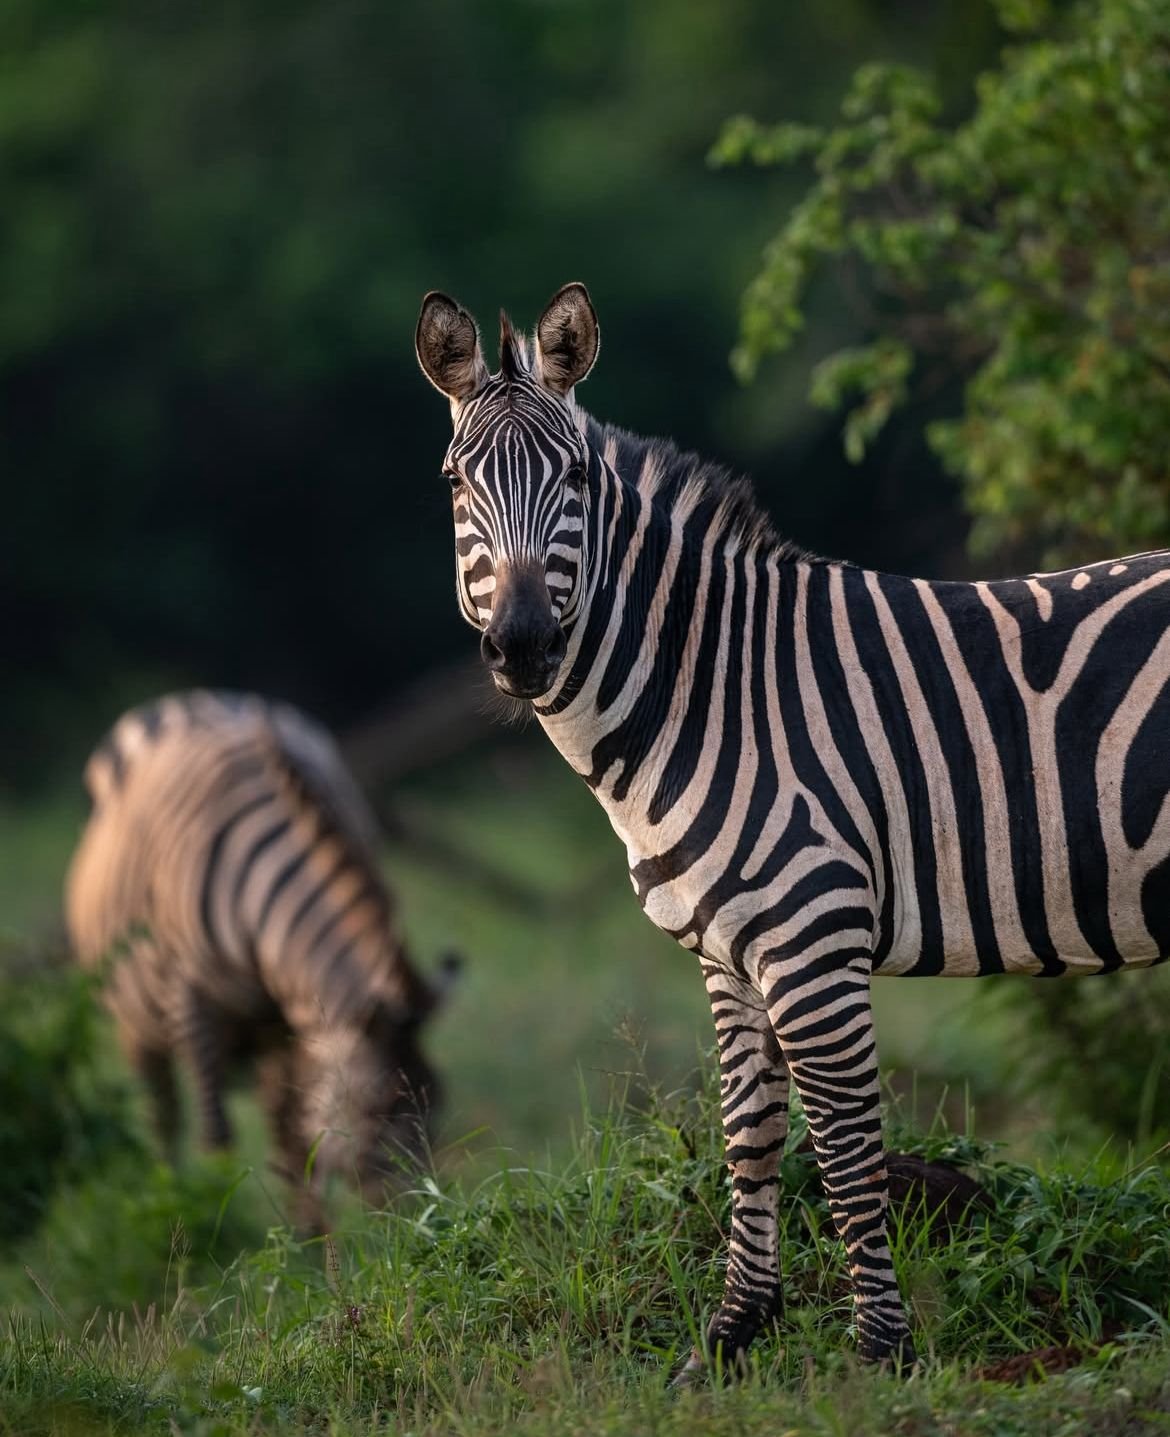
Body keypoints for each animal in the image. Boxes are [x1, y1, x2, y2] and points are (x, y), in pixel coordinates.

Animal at [66, 690, 457, 1221]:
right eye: (376, 1107)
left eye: (438, 1102)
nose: (426, 1218)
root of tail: (196, 700)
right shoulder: (193, 1003)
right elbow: (218, 1139)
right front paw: (220, 1231)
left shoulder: (292, 1023)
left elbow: (298, 1146)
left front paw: (309, 1242)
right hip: (136, 1019)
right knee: (163, 1117)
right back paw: (171, 1206)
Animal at [415, 281, 1170, 1376]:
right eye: (454, 481)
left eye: (579, 477)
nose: (521, 646)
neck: (711, 689)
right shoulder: (729, 950)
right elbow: (752, 1135)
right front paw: (733, 1336)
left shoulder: (815, 937)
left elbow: (847, 1149)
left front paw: (880, 1352)